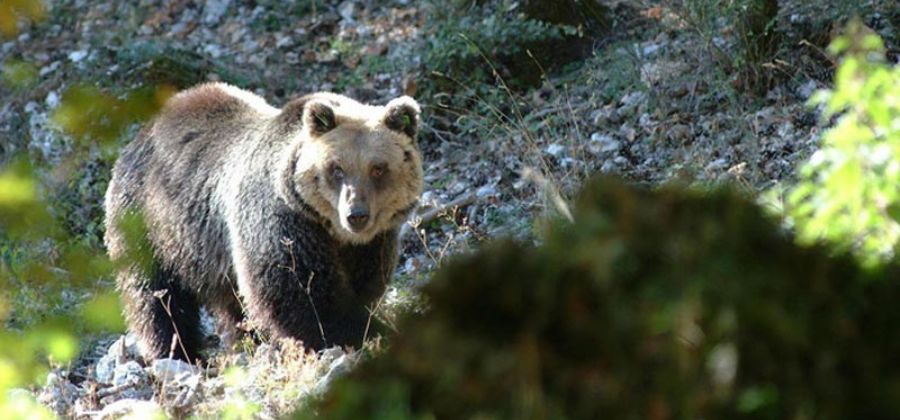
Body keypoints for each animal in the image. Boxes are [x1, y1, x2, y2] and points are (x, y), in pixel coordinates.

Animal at [103, 82, 424, 362]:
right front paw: (364, 333)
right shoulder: (280, 220)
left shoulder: (373, 243)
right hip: (149, 224)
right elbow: (301, 294)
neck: (332, 231)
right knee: (156, 296)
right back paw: (179, 353)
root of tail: (140, 133)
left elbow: (364, 284)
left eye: (378, 168)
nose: (356, 214)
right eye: (336, 168)